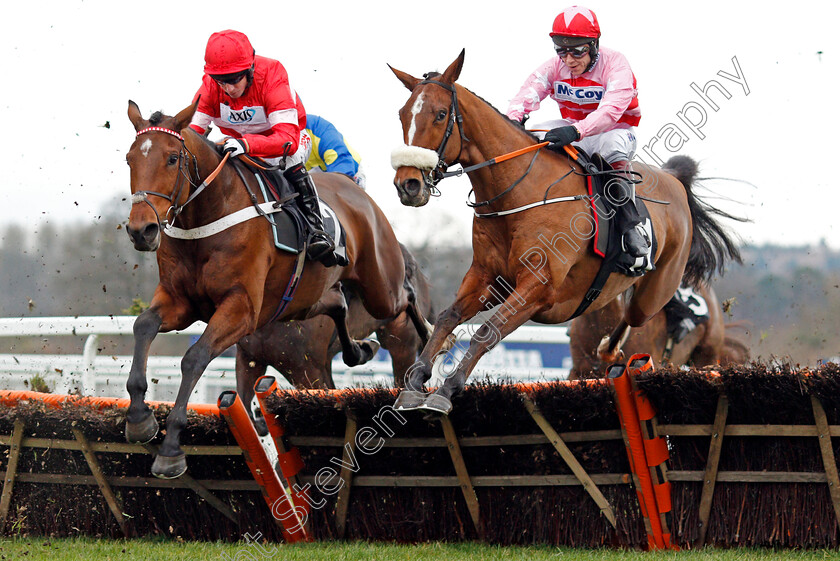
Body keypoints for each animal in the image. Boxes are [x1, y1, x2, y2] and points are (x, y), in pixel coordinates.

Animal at [124, 100, 434, 476]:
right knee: (337, 301)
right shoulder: (186, 306)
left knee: (405, 301)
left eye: (172, 158)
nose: (142, 230)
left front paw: (170, 448)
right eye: (129, 159)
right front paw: (139, 418)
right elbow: (144, 326)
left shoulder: (243, 311)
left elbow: (194, 357)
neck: (208, 219)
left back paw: (429, 340)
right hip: (305, 302)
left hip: (382, 296)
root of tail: (360, 196)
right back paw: (359, 349)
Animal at [390, 50, 740, 414]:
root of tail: (674, 179)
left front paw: (446, 390)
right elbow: (449, 317)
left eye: (440, 114)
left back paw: (612, 343)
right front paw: (414, 384)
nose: (408, 184)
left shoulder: (538, 287)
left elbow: (488, 330)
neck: (519, 193)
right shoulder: (487, 277)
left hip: (657, 294)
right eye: (402, 114)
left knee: (635, 313)